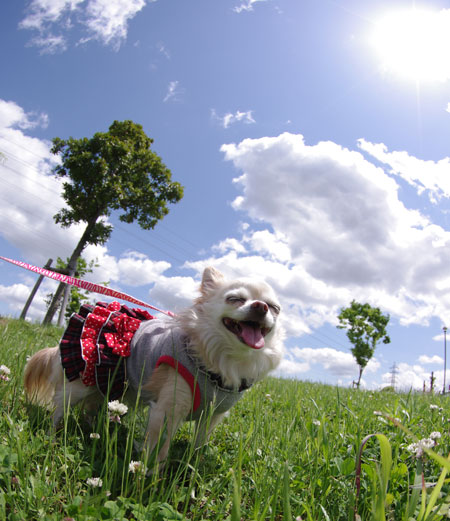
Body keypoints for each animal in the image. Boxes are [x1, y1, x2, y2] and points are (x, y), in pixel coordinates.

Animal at [23, 268, 282, 464]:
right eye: (234, 299)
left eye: (274, 308)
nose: (260, 306)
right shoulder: (169, 407)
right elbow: (160, 447)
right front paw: (150, 478)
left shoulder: (212, 415)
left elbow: (200, 442)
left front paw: (192, 464)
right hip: (82, 380)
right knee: (60, 408)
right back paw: (53, 435)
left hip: (109, 385)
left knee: (90, 407)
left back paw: (94, 430)